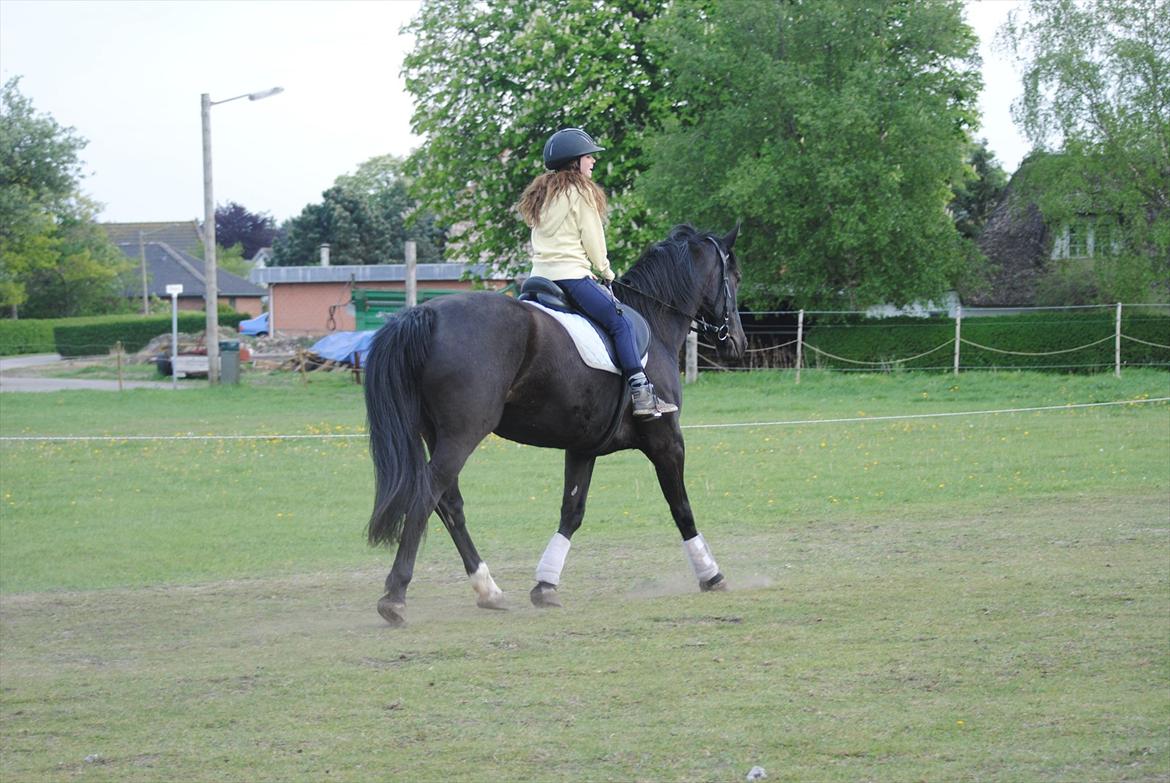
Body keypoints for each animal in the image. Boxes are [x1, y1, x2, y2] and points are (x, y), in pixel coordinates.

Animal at [362, 222, 748, 627]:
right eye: (735, 277)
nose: (737, 343)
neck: (653, 323)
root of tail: (426, 313)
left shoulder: (583, 447)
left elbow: (571, 512)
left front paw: (545, 585)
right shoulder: (667, 441)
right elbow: (681, 507)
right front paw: (711, 574)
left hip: (438, 434)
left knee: (449, 503)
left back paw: (489, 590)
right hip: (462, 435)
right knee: (427, 496)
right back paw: (395, 596)